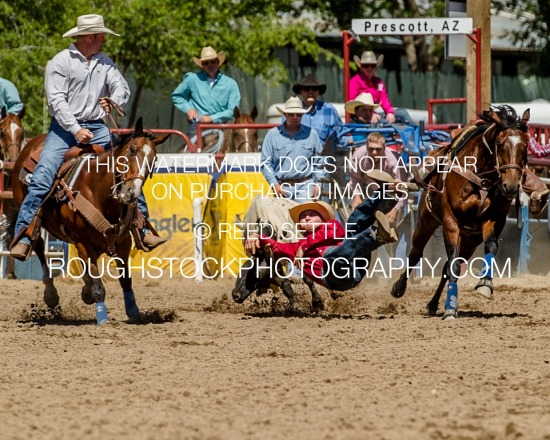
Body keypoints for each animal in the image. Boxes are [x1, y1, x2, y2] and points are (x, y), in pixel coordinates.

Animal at [8, 118, 168, 324]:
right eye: (132, 150)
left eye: (153, 159)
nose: (131, 192)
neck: (98, 191)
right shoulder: (85, 243)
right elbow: (98, 284)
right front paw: (102, 317)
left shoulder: (123, 242)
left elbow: (125, 279)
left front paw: (133, 311)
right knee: (38, 245)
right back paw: (51, 293)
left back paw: (85, 290)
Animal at [392, 106, 532, 320]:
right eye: (500, 145)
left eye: (525, 146)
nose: (510, 186)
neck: (481, 176)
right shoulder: (450, 222)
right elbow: (452, 264)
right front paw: (451, 308)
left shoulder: (491, 220)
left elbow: (490, 247)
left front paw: (485, 284)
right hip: (425, 222)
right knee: (416, 255)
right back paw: (399, 288)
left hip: (469, 239)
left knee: (447, 266)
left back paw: (433, 304)